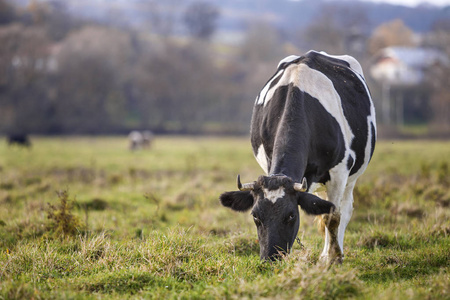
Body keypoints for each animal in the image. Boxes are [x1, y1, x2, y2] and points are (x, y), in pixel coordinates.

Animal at [219, 50, 376, 264]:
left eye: (291, 216)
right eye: (255, 216)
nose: (271, 258)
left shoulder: (339, 172)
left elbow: (333, 216)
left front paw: (333, 257)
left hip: (352, 176)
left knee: (345, 209)